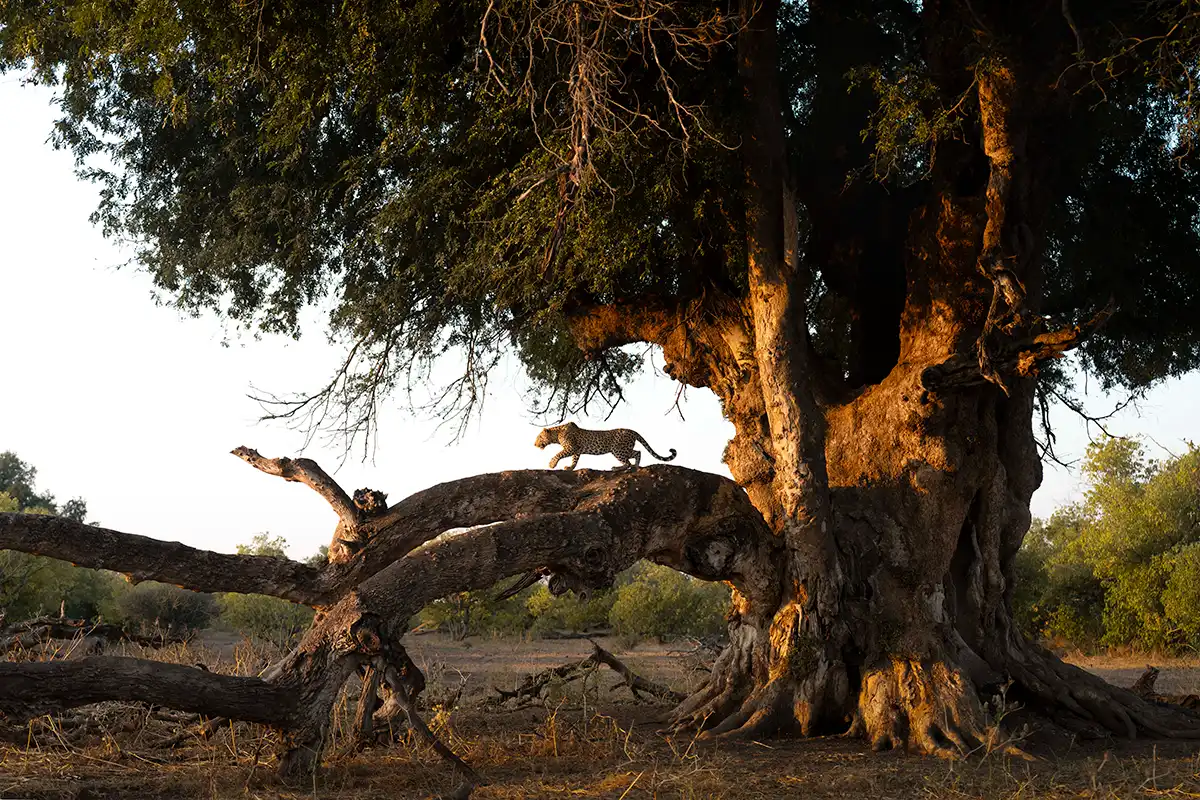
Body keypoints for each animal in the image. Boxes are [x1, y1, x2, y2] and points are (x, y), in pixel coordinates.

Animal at [533, 422, 677, 470]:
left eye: (538, 437)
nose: (534, 444)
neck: (556, 434)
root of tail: (631, 431)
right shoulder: (576, 450)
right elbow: (575, 460)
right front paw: (570, 467)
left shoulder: (571, 448)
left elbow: (558, 454)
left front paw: (552, 464)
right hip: (624, 449)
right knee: (637, 453)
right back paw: (636, 466)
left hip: (618, 450)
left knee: (628, 461)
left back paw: (617, 468)